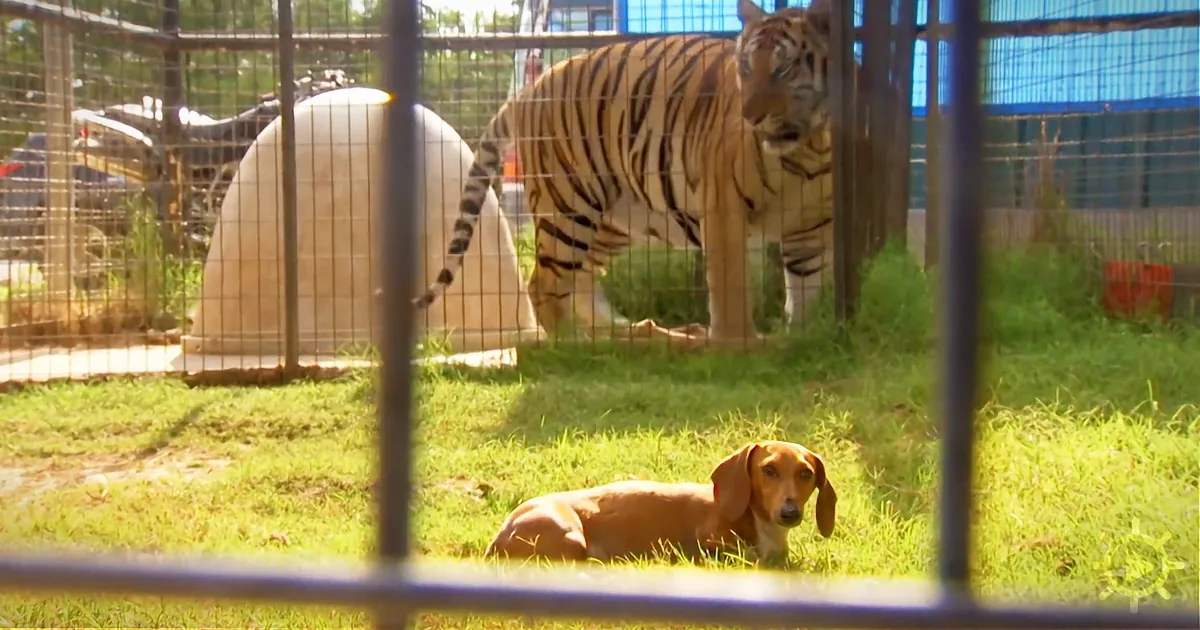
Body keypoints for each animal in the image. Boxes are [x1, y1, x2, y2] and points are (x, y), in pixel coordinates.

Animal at [414, 0, 838, 349]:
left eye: (783, 68)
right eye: (746, 66)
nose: (751, 116)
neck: (808, 148)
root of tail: (530, 90)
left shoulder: (812, 229)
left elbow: (808, 290)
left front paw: (803, 337)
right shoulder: (723, 207)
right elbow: (731, 287)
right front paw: (739, 345)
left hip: (615, 218)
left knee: (581, 280)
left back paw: (641, 333)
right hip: (569, 204)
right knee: (546, 284)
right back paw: (577, 343)